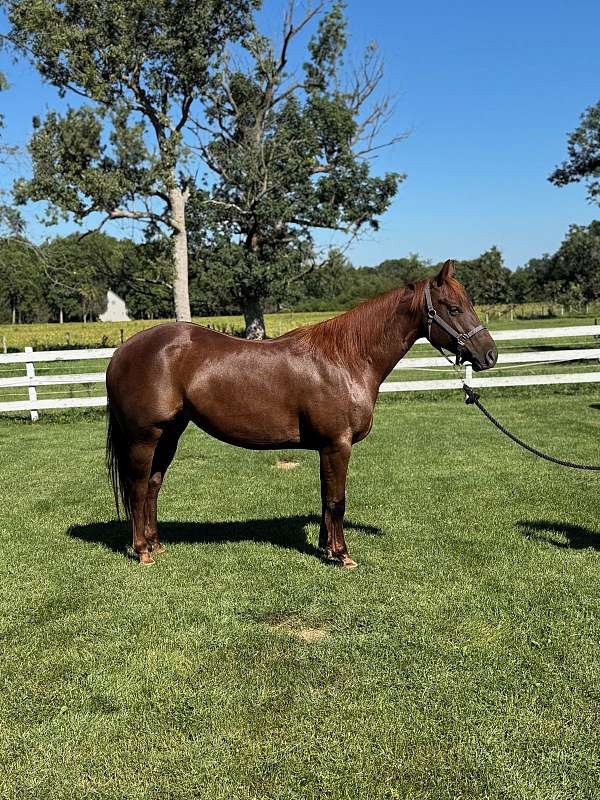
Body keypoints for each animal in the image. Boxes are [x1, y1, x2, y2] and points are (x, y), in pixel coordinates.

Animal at [105, 260, 498, 568]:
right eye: (454, 308)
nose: (490, 355)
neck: (346, 359)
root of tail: (123, 351)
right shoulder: (337, 445)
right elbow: (337, 500)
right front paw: (342, 555)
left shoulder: (327, 448)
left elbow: (326, 499)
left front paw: (326, 548)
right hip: (145, 437)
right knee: (138, 487)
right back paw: (142, 551)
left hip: (169, 434)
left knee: (153, 485)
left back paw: (156, 544)